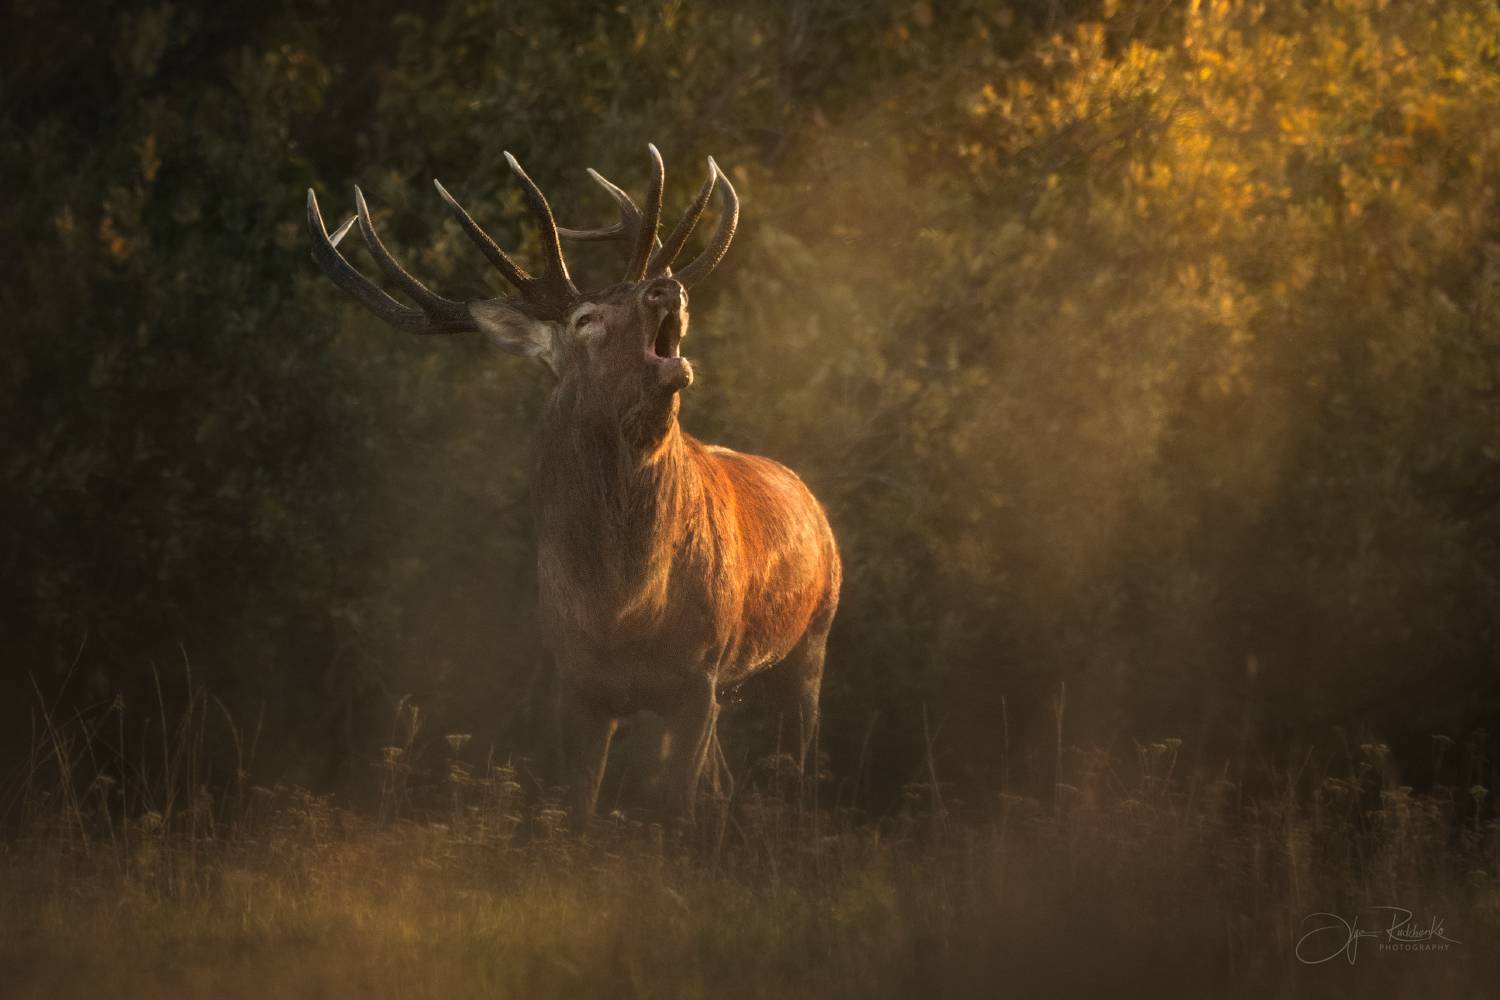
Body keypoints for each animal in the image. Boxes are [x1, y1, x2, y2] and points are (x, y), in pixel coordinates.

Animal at [306, 145, 841, 822]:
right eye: (586, 317)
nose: (666, 286)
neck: (622, 604)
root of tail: (812, 500)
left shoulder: (699, 674)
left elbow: (677, 810)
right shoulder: (576, 683)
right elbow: (577, 810)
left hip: (812, 636)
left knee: (798, 773)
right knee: (728, 781)